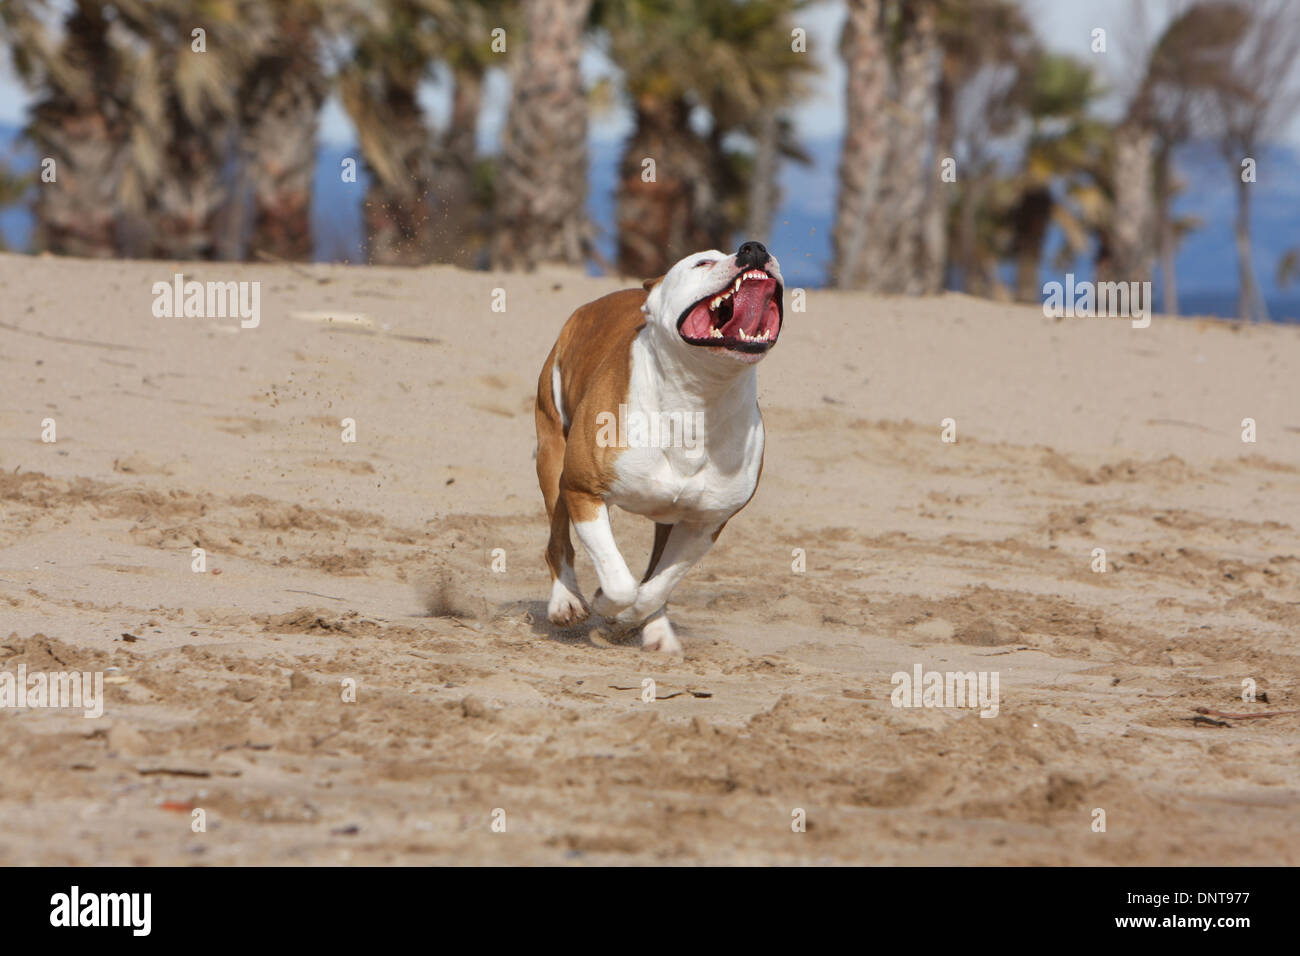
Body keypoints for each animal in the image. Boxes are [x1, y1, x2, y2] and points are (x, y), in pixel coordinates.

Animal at [535, 243, 780, 655]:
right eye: (702, 262)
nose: (754, 248)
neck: (698, 400)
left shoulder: (706, 523)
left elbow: (656, 586)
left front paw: (629, 621)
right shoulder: (583, 490)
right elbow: (621, 583)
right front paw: (604, 603)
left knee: (652, 574)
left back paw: (656, 630)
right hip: (553, 459)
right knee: (559, 541)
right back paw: (565, 601)